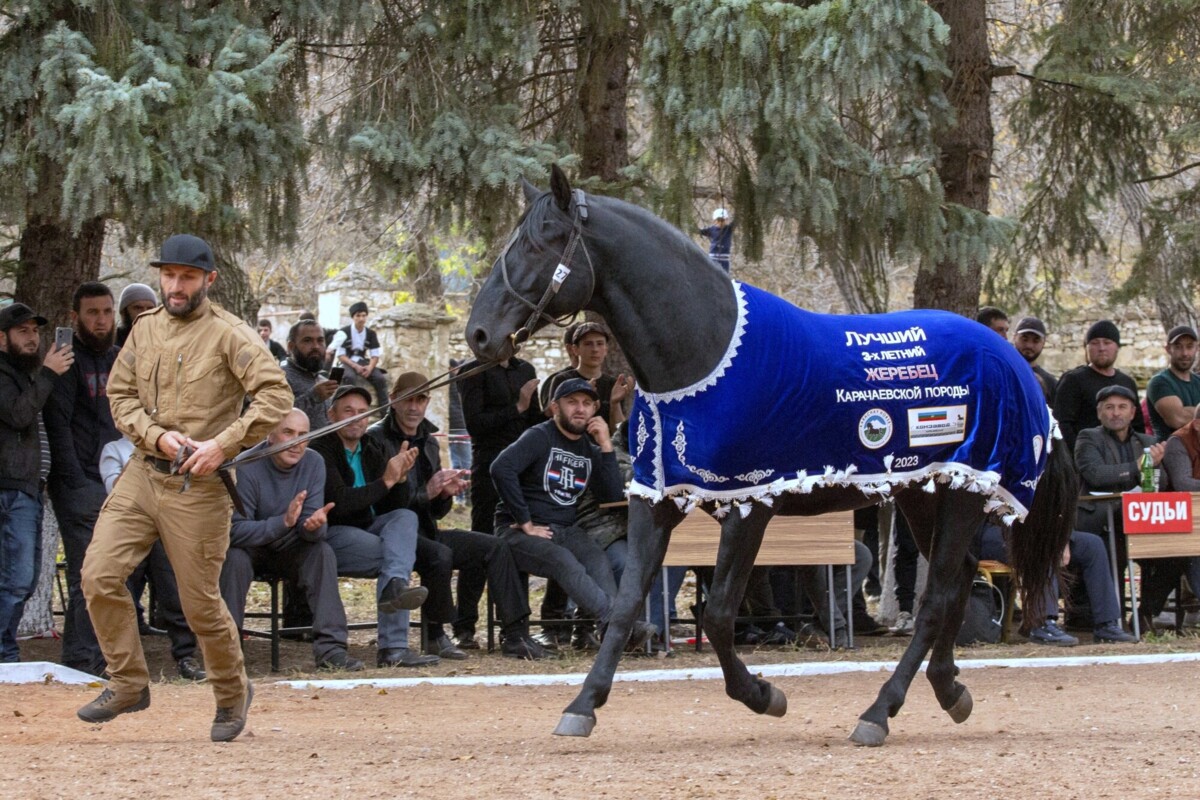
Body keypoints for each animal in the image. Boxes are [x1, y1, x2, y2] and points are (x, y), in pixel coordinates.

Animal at [463, 165, 1075, 748]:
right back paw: (950, 690)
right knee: (959, 579)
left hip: (965, 491)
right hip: (925, 492)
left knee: (938, 597)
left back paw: (879, 713)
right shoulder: (656, 499)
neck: (705, 355)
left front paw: (764, 695)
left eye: (540, 242)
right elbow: (626, 601)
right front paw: (581, 707)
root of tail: (1017, 366)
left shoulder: (748, 503)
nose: (480, 335)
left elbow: (716, 614)